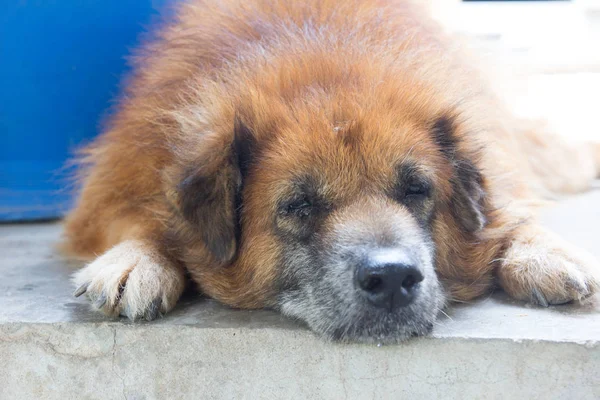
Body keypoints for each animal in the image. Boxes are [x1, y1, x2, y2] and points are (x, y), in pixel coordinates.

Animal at [63, 0, 600, 344]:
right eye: (299, 205)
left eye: (416, 190)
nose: (392, 278)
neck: (325, 63)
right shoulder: (120, 173)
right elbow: (135, 217)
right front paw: (137, 259)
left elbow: (513, 209)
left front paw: (542, 251)